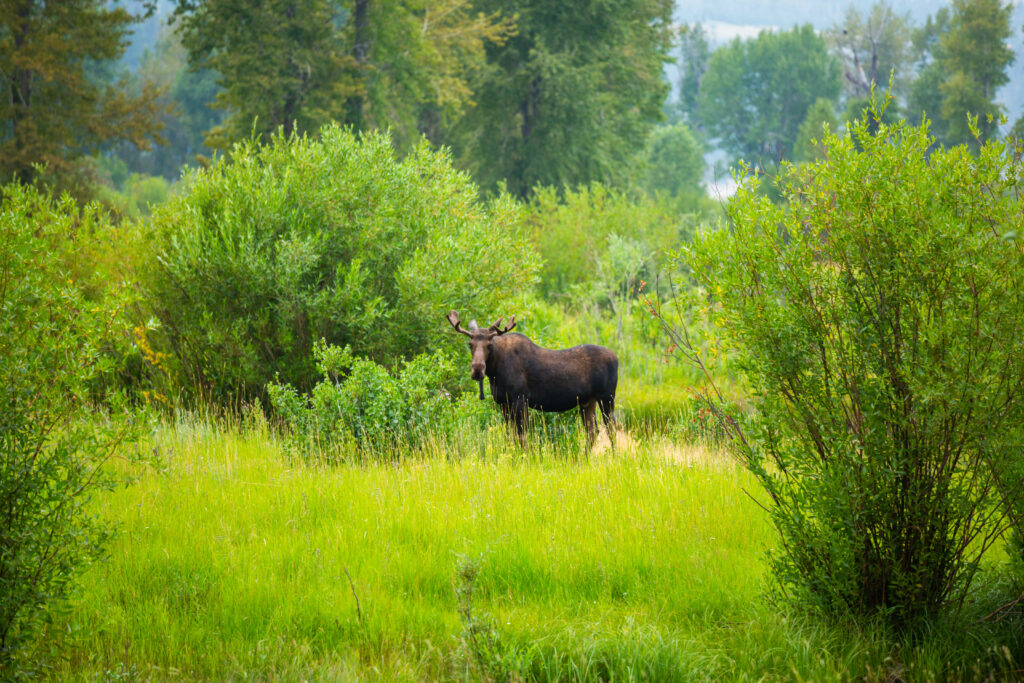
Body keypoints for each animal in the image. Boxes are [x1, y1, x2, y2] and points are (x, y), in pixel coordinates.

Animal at [446, 310, 618, 449]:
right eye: (470, 344)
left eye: (490, 345)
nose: (477, 369)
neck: (494, 373)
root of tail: (617, 358)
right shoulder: (503, 402)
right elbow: (510, 435)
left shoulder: (520, 399)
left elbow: (522, 436)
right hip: (587, 401)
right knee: (592, 431)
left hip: (607, 397)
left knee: (611, 429)